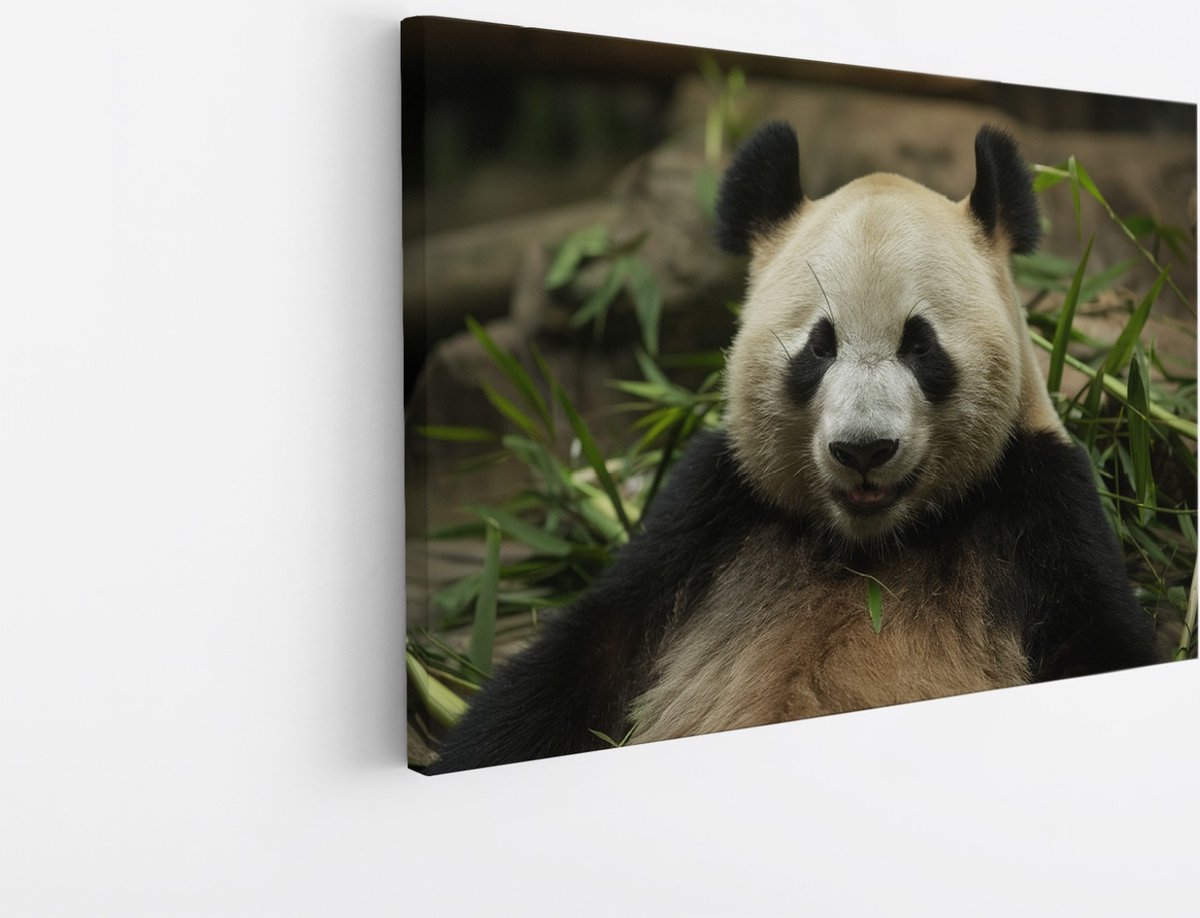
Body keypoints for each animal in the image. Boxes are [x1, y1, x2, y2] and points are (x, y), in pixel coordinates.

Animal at [424, 122, 1163, 775]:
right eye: (819, 345)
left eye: (920, 344)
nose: (864, 450)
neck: (870, 546)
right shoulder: (711, 510)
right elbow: (584, 654)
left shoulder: (1040, 504)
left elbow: (1099, 641)